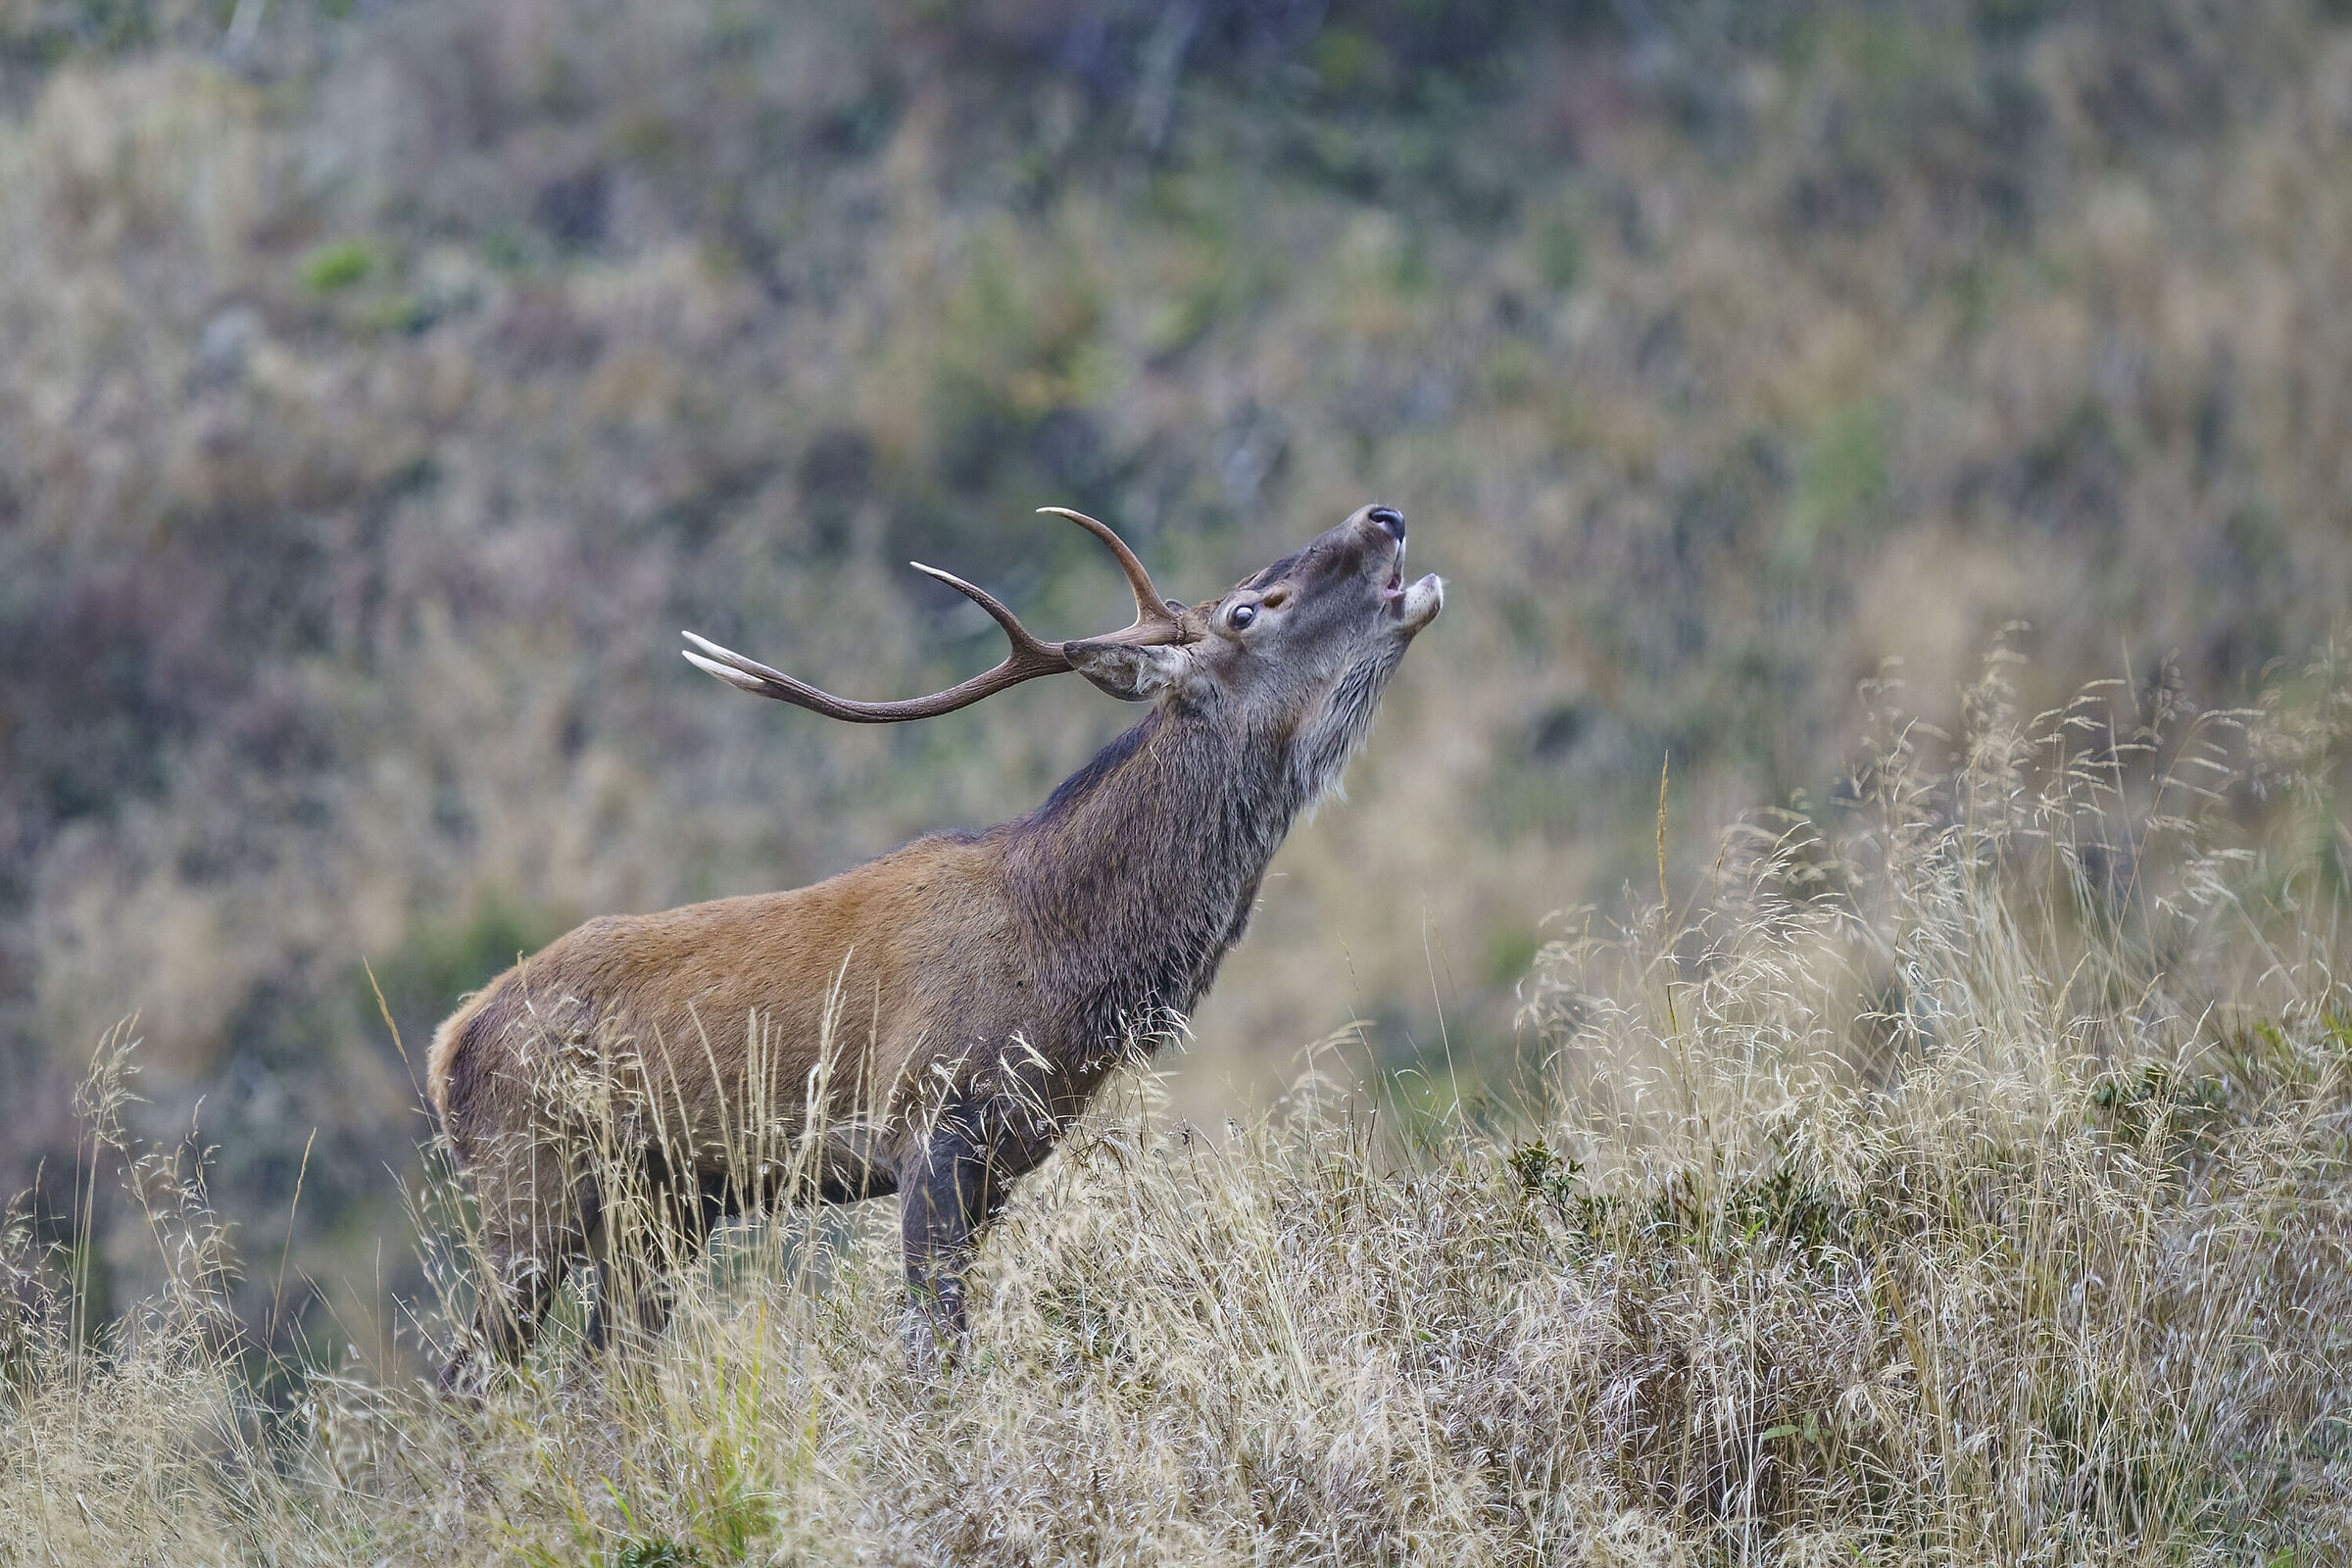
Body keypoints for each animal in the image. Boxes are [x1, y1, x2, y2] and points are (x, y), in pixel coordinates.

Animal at [426, 502, 1442, 1385]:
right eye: (1247, 608)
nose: (1382, 515)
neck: (1065, 951)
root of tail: (449, 1045)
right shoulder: (932, 1124)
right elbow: (930, 1345)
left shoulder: (1006, 1157)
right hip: (529, 1186)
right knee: (469, 1377)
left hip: (659, 1210)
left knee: (602, 1376)